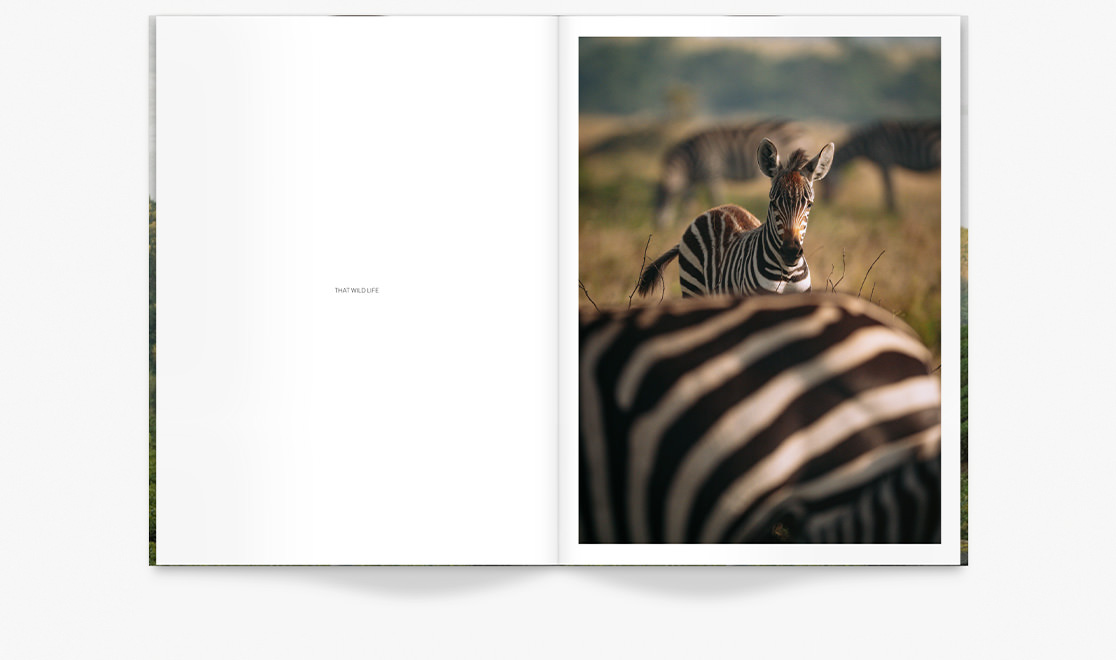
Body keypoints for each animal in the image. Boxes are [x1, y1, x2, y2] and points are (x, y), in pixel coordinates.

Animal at [637, 138, 834, 299]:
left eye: (809, 205)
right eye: (773, 203)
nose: (790, 252)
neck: (787, 273)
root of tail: (716, 209)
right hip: (692, 289)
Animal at [654, 120, 806, 228]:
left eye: (666, 197)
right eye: (655, 199)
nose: (658, 227)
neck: (690, 161)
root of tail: (800, 128)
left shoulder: (712, 172)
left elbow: (715, 198)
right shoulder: (693, 182)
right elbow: (689, 202)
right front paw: (684, 222)